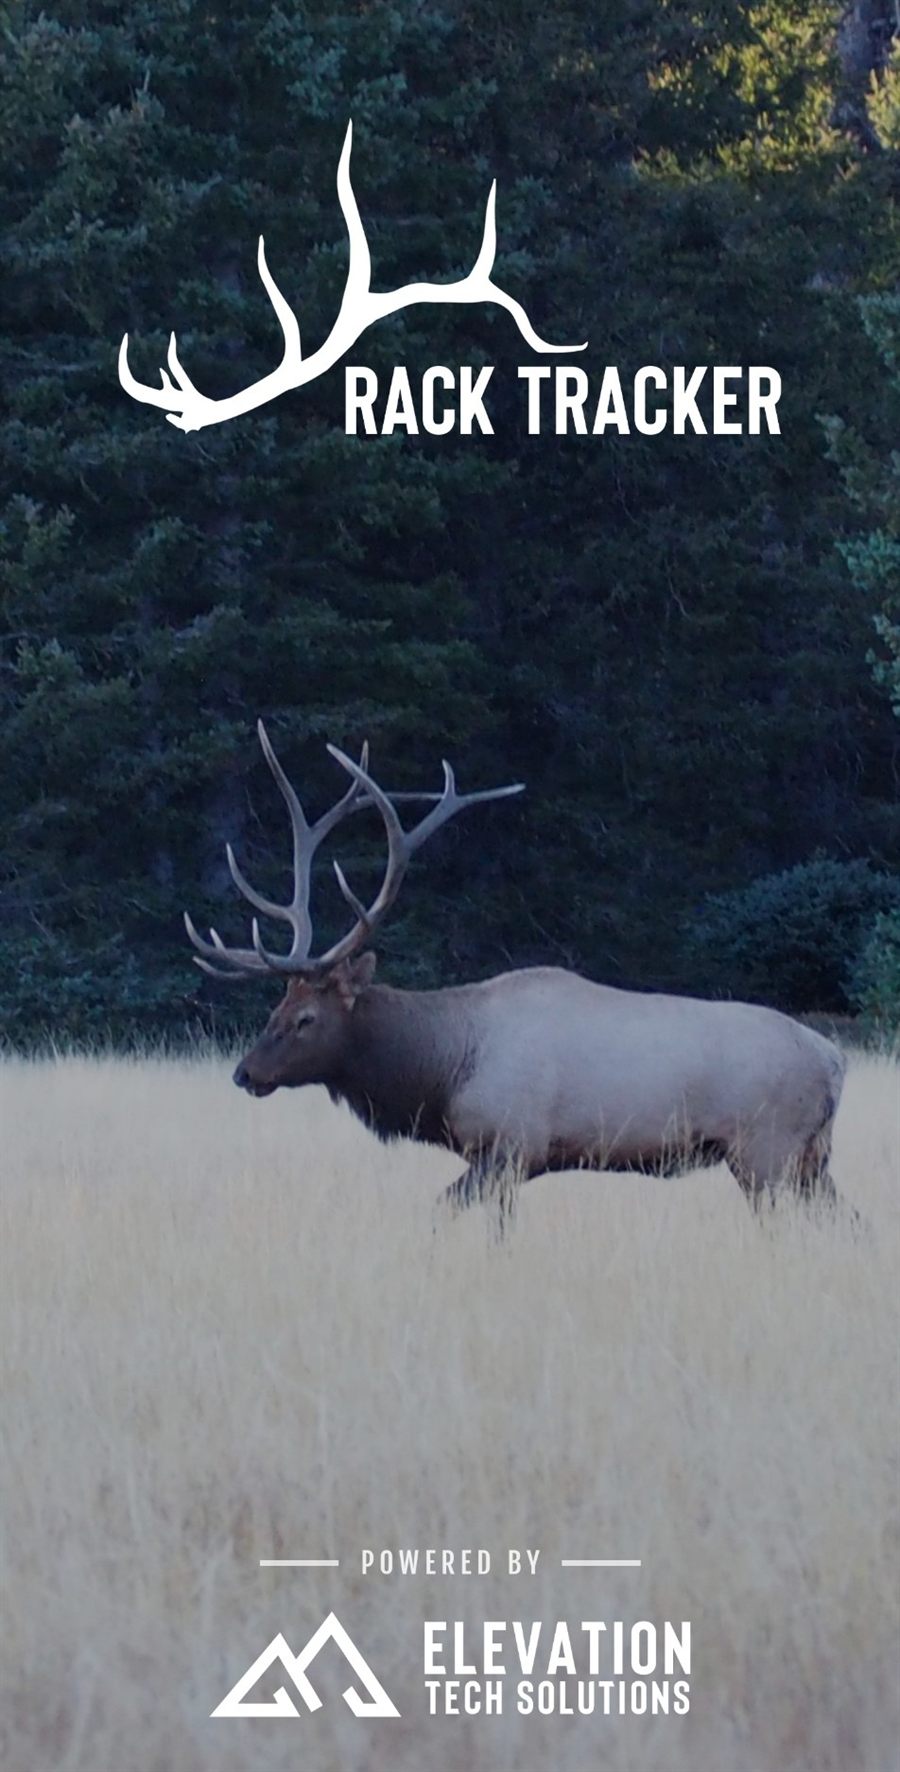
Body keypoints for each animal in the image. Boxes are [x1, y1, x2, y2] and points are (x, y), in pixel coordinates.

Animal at [184, 724, 849, 1228]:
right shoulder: (508, 1159)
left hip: (766, 1148)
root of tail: (835, 1060)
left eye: (304, 1018)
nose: (245, 1073)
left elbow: (446, 1214)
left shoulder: (510, 1145)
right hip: (811, 1158)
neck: (443, 1068)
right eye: (273, 1008)